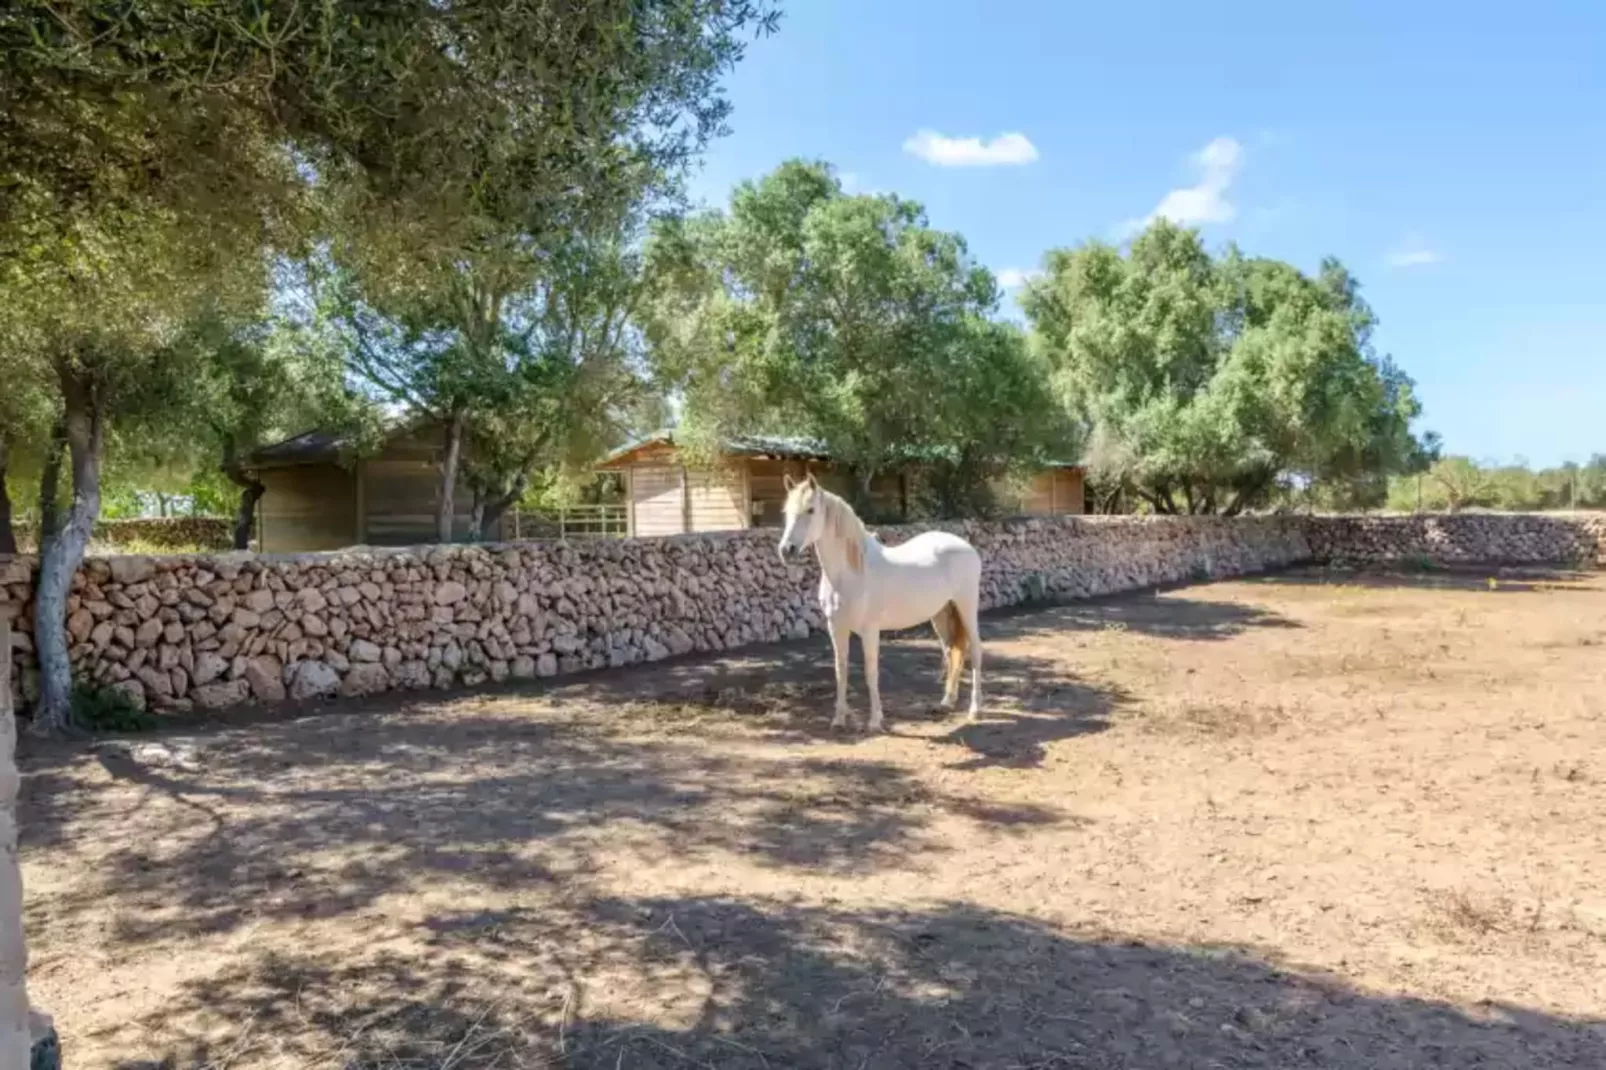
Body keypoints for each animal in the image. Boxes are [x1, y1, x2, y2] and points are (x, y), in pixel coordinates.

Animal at [774, 472, 976, 729]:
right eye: (785, 511)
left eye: (810, 510)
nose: (786, 550)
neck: (852, 572)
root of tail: (967, 547)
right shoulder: (836, 628)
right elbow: (841, 671)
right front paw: (838, 719)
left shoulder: (870, 631)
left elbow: (871, 672)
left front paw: (874, 720)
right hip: (941, 614)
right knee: (952, 652)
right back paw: (947, 702)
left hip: (967, 609)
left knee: (976, 652)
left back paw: (974, 710)